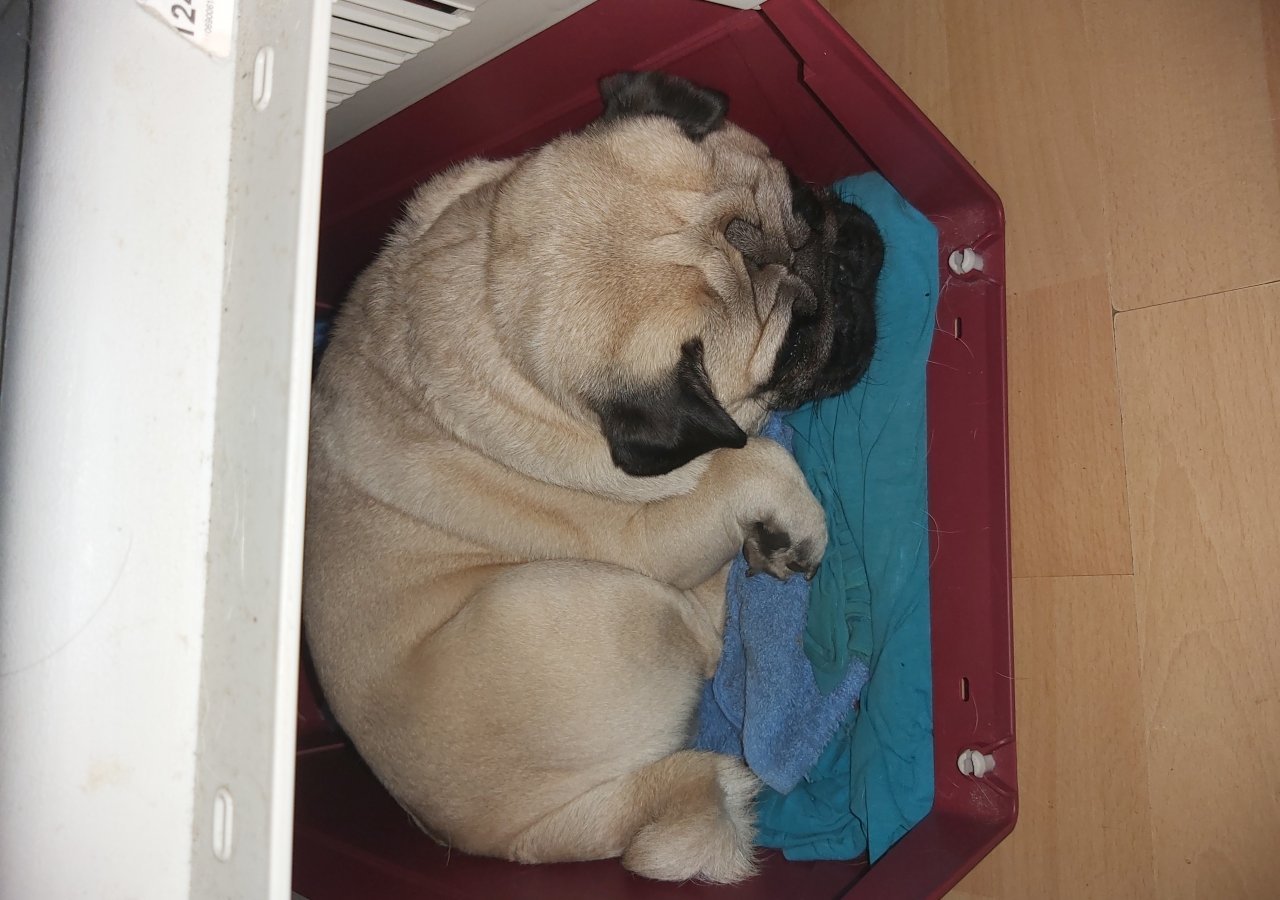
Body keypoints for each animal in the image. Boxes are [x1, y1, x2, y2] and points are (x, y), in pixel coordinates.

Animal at [303, 71, 882, 884]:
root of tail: (527, 839)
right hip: (585, 601)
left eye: (800, 200)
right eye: (794, 340)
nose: (846, 266)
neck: (486, 307)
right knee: (710, 642)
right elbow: (753, 461)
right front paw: (787, 515)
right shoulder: (652, 536)